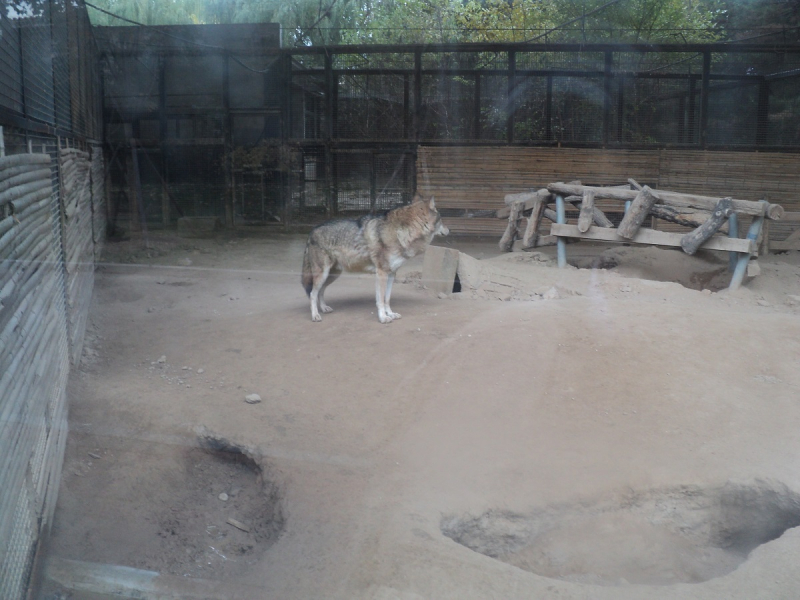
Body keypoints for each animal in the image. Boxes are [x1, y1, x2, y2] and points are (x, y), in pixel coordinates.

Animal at [302, 195, 450, 322]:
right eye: (442, 219)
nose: (448, 230)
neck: (401, 232)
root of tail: (311, 232)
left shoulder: (391, 273)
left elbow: (387, 298)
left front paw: (391, 314)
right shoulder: (381, 273)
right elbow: (380, 300)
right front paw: (383, 317)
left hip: (332, 275)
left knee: (320, 291)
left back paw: (324, 309)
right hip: (323, 274)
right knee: (313, 293)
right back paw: (315, 315)